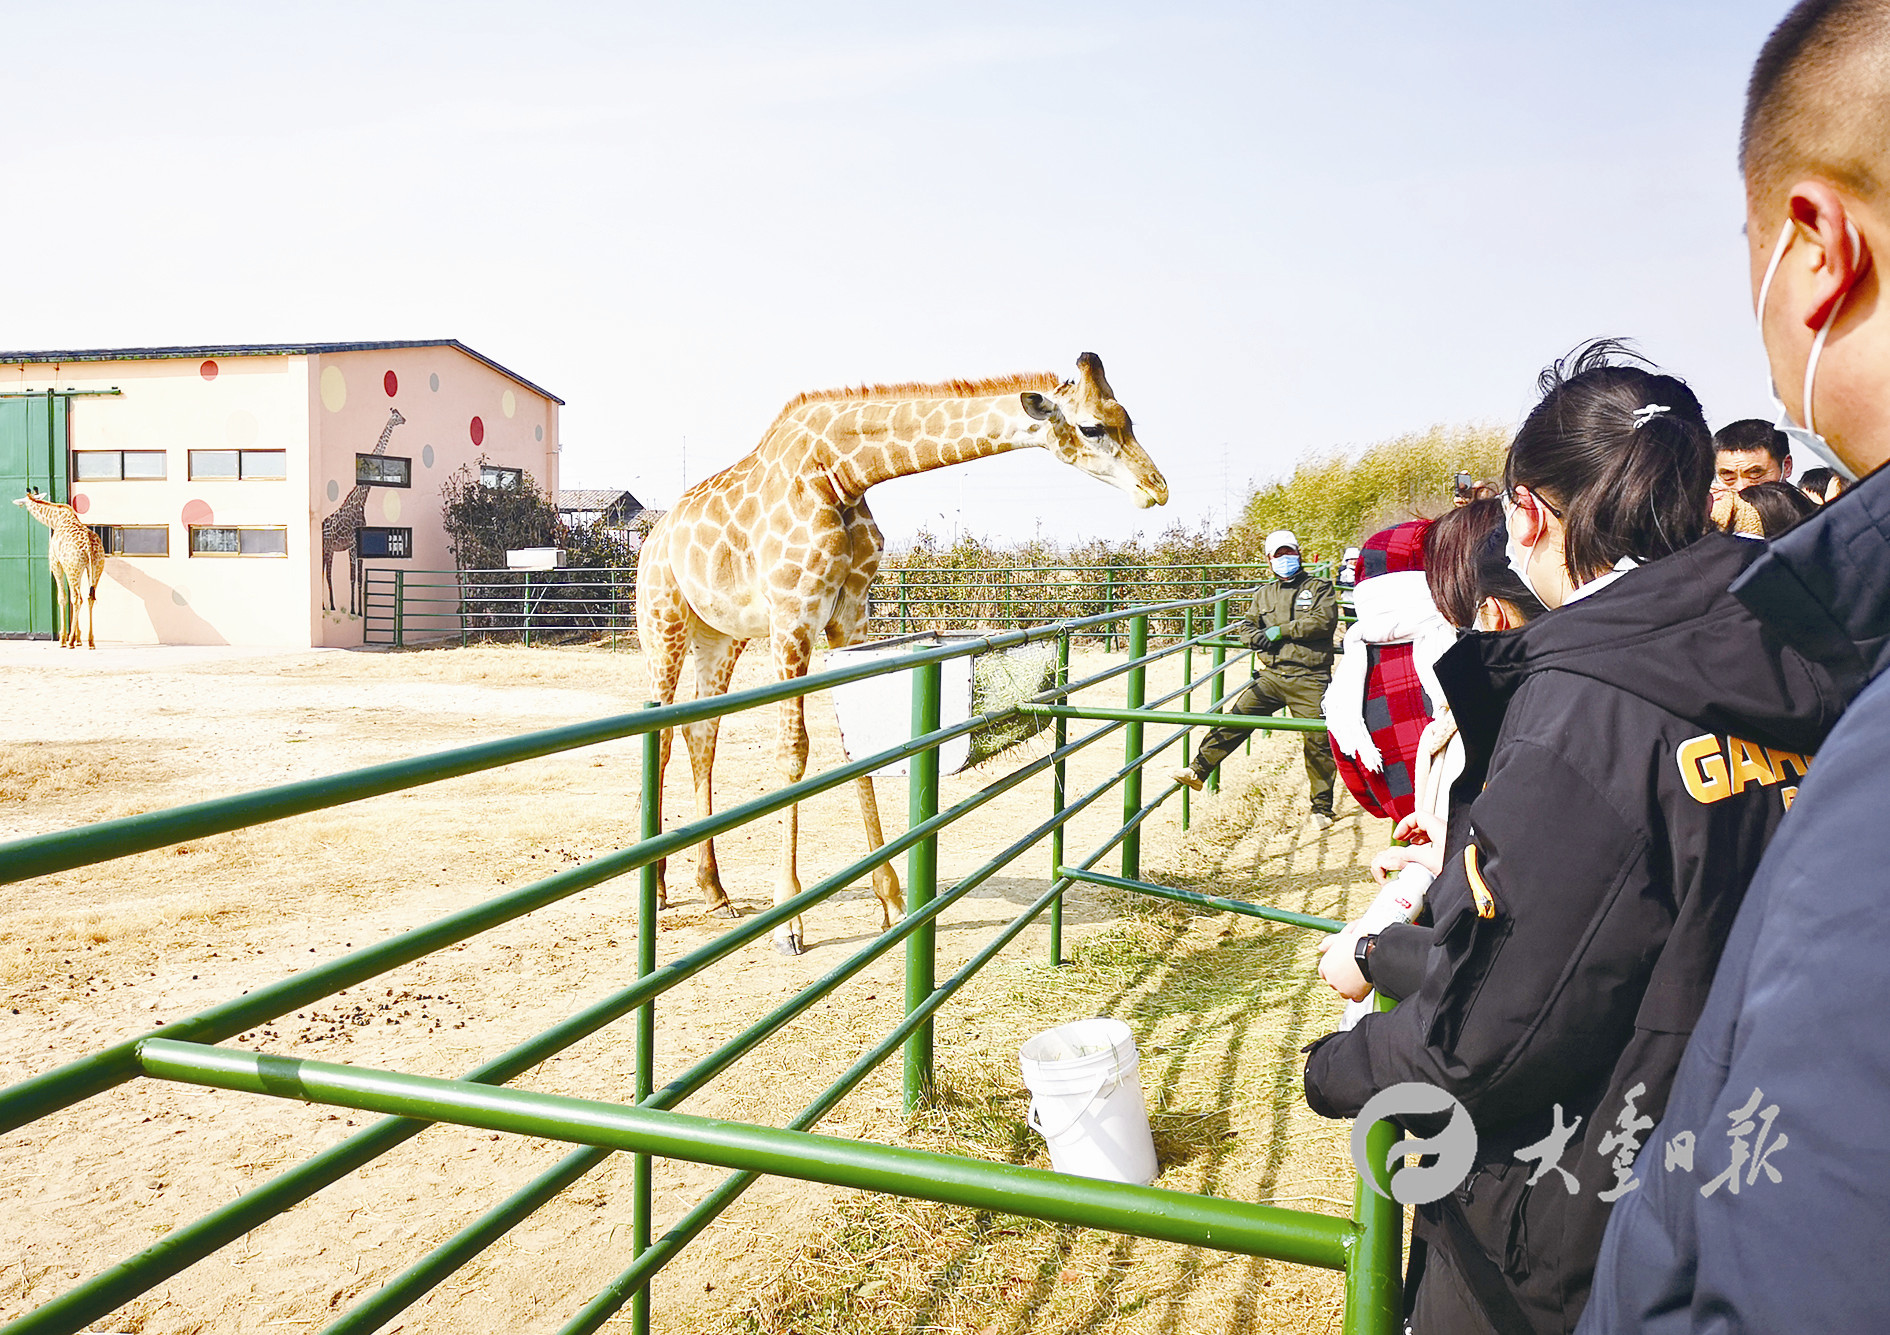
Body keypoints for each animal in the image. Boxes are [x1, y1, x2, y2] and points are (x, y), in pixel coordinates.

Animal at [13, 487, 107, 650]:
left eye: (22, 502)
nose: (17, 504)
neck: (55, 519)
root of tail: (89, 546)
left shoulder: (55, 563)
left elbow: (62, 598)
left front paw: (64, 638)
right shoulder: (73, 568)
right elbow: (71, 597)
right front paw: (78, 638)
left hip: (73, 568)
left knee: (77, 598)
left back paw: (69, 642)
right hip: (94, 568)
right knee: (89, 597)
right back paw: (90, 641)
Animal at [325, 404, 406, 612]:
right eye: (395, 415)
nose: (405, 420)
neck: (362, 500)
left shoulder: (359, 545)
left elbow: (361, 578)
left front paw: (360, 610)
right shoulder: (354, 544)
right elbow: (353, 577)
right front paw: (354, 610)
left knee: (327, 574)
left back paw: (331, 605)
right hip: (326, 547)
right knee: (325, 574)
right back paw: (329, 606)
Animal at [638, 353, 1164, 953]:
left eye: (1129, 419)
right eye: (1093, 427)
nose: (1157, 487)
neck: (841, 471)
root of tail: (651, 539)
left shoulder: (849, 617)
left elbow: (857, 748)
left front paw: (890, 898)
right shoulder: (792, 616)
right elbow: (793, 753)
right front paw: (789, 920)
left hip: (719, 635)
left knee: (699, 735)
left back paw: (713, 891)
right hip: (663, 621)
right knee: (661, 736)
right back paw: (660, 890)